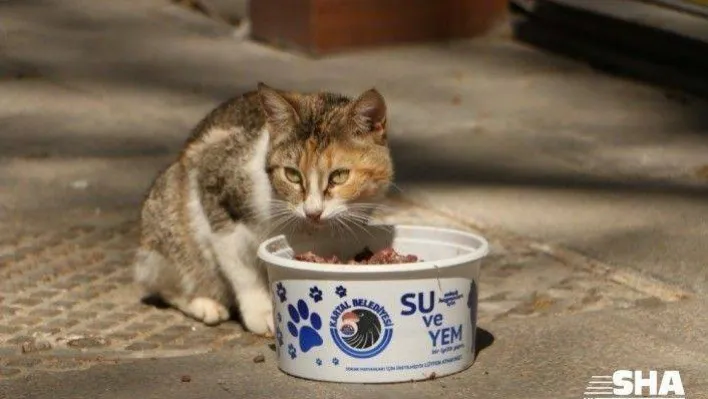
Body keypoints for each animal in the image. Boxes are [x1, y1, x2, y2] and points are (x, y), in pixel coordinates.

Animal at [133, 83, 392, 336]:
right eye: (292, 174)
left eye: (339, 176)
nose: (313, 212)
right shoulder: (215, 189)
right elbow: (241, 268)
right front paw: (261, 312)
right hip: (168, 211)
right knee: (167, 281)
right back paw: (204, 304)